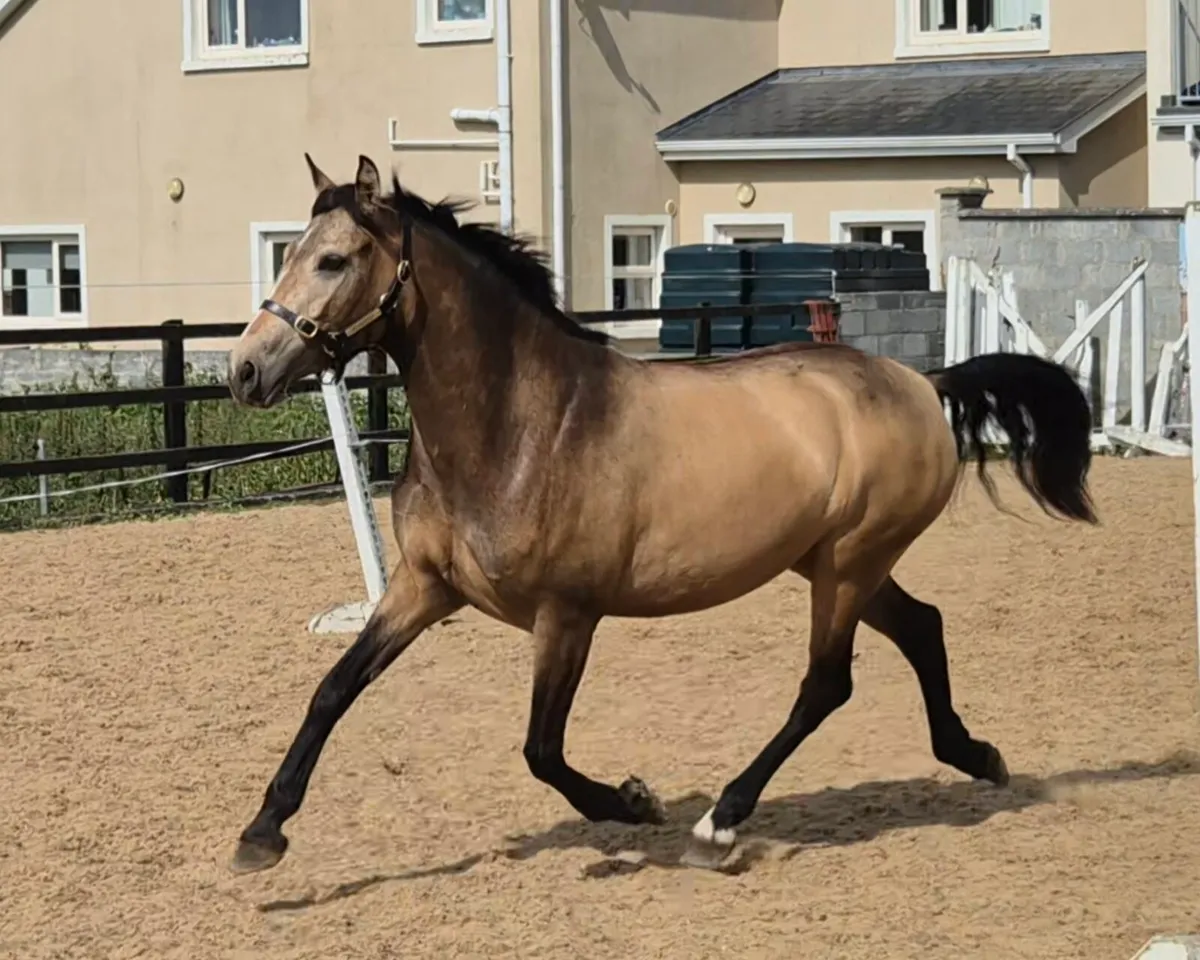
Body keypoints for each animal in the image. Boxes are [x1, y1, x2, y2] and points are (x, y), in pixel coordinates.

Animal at [223, 153, 1097, 875]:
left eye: (334, 260)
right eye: (290, 253)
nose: (244, 370)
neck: (520, 424)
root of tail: (923, 383)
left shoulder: (567, 615)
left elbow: (542, 750)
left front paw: (634, 803)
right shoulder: (422, 587)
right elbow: (334, 689)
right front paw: (262, 833)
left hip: (848, 565)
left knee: (826, 684)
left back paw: (721, 823)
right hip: (837, 561)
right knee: (922, 628)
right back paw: (978, 756)